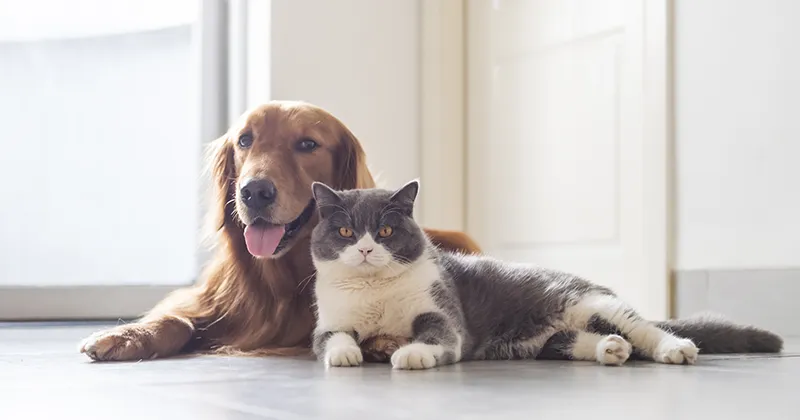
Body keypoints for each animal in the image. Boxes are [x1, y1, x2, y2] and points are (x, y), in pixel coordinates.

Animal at [79, 100, 482, 360]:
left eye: (307, 144)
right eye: (245, 140)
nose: (254, 192)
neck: (281, 282)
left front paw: (385, 340)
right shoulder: (207, 300)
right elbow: (176, 318)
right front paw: (126, 334)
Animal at [308, 179, 780, 370]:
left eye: (385, 232)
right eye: (346, 231)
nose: (365, 249)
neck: (373, 292)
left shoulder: (441, 311)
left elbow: (438, 335)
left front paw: (411, 354)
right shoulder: (328, 322)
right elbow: (332, 338)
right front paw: (346, 354)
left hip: (593, 301)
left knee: (644, 328)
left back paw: (675, 348)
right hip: (538, 343)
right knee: (575, 342)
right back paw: (611, 349)